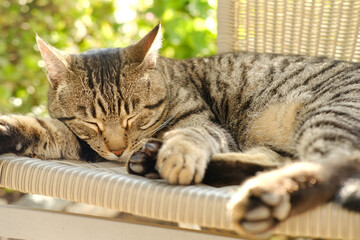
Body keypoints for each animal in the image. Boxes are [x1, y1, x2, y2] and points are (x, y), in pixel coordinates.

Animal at [0, 23, 360, 237]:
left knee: (333, 164)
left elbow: (191, 136)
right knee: (274, 161)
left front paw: (177, 153)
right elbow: (47, 128)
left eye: (134, 116)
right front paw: (9, 129)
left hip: (328, 114)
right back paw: (151, 161)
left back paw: (268, 197)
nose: (118, 150)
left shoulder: (206, 125)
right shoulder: (84, 142)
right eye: (91, 122)